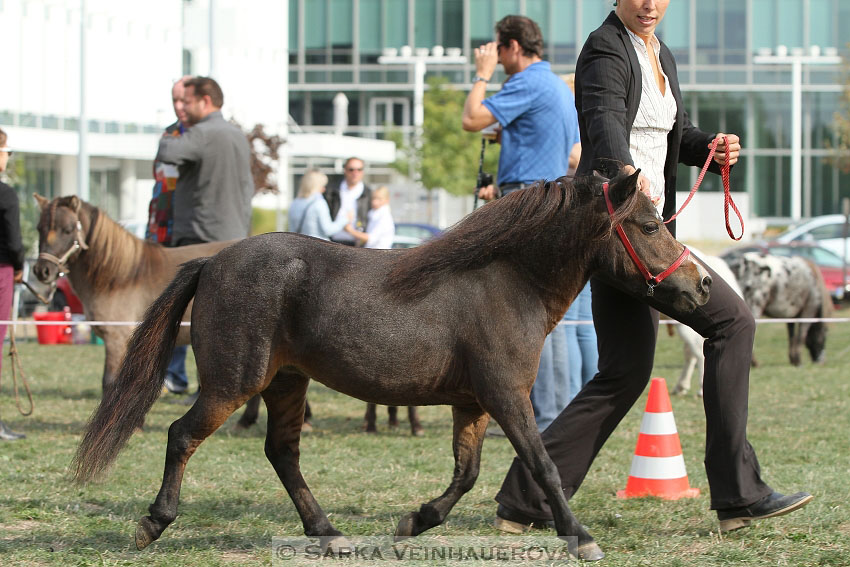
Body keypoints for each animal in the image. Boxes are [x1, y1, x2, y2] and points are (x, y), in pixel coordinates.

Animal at [71, 171, 708, 560]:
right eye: (650, 225)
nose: (701, 285)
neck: (507, 282)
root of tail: (212, 262)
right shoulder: (507, 396)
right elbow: (544, 466)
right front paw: (580, 536)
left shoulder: (473, 404)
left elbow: (466, 474)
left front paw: (414, 521)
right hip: (234, 382)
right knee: (183, 435)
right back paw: (154, 522)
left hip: (287, 382)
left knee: (282, 452)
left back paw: (327, 533)